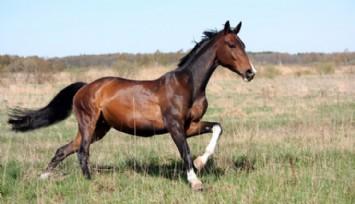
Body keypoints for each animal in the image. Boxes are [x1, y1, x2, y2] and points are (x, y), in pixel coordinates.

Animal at [7, 19, 256, 190]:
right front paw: (195, 181)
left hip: (100, 128)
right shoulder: (175, 126)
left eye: (243, 44)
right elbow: (184, 151)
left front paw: (201, 163)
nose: (250, 72)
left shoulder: (190, 125)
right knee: (82, 151)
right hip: (89, 123)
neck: (188, 85)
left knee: (65, 149)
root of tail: (85, 87)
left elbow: (217, 128)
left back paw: (43, 176)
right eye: (231, 44)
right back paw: (91, 182)